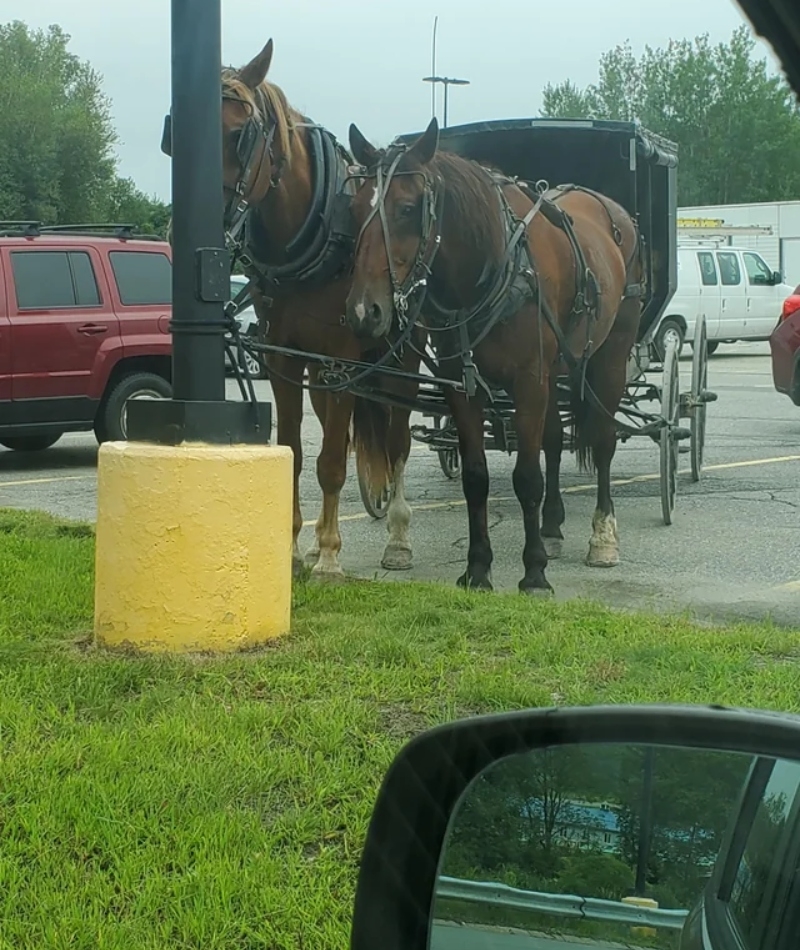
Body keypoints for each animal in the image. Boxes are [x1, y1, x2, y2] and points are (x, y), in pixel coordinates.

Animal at [212, 41, 424, 580]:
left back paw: (398, 536)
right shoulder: (284, 358)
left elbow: (332, 462)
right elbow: (294, 448)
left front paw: (329, 555)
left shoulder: (344, 358)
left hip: (401, 359)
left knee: (398, 442)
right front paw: (293, 549)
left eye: (241, 135)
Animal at [344, 117, 644, 596]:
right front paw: (478, 568)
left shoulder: (528, 380)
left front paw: (534, 572)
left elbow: (526, 477)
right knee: (554, 441)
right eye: (355, 209)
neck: (495, 265)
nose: (363, 311)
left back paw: (602, 538)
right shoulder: (465, 387)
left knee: (602, 439)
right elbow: (476, 477)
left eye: (408, 208)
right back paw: (552, 526)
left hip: (610, 356)